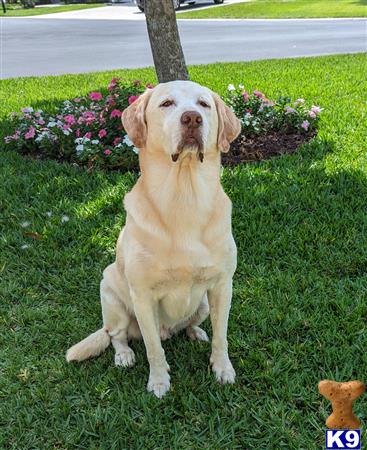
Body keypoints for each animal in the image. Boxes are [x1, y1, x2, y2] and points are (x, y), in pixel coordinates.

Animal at [67, 81, 242, 398]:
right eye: (166, 104)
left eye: (203, 104)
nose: (192, 118)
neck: (184, 197)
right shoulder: (143, 296)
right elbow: (153, 348)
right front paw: (159, 382)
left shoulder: (223, 286)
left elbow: (221, 337)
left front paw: (222, 368)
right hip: (112, 296)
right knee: (116, 335)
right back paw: (124, 355)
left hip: (203, 304)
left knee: (189, 325)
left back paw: (195, 332)